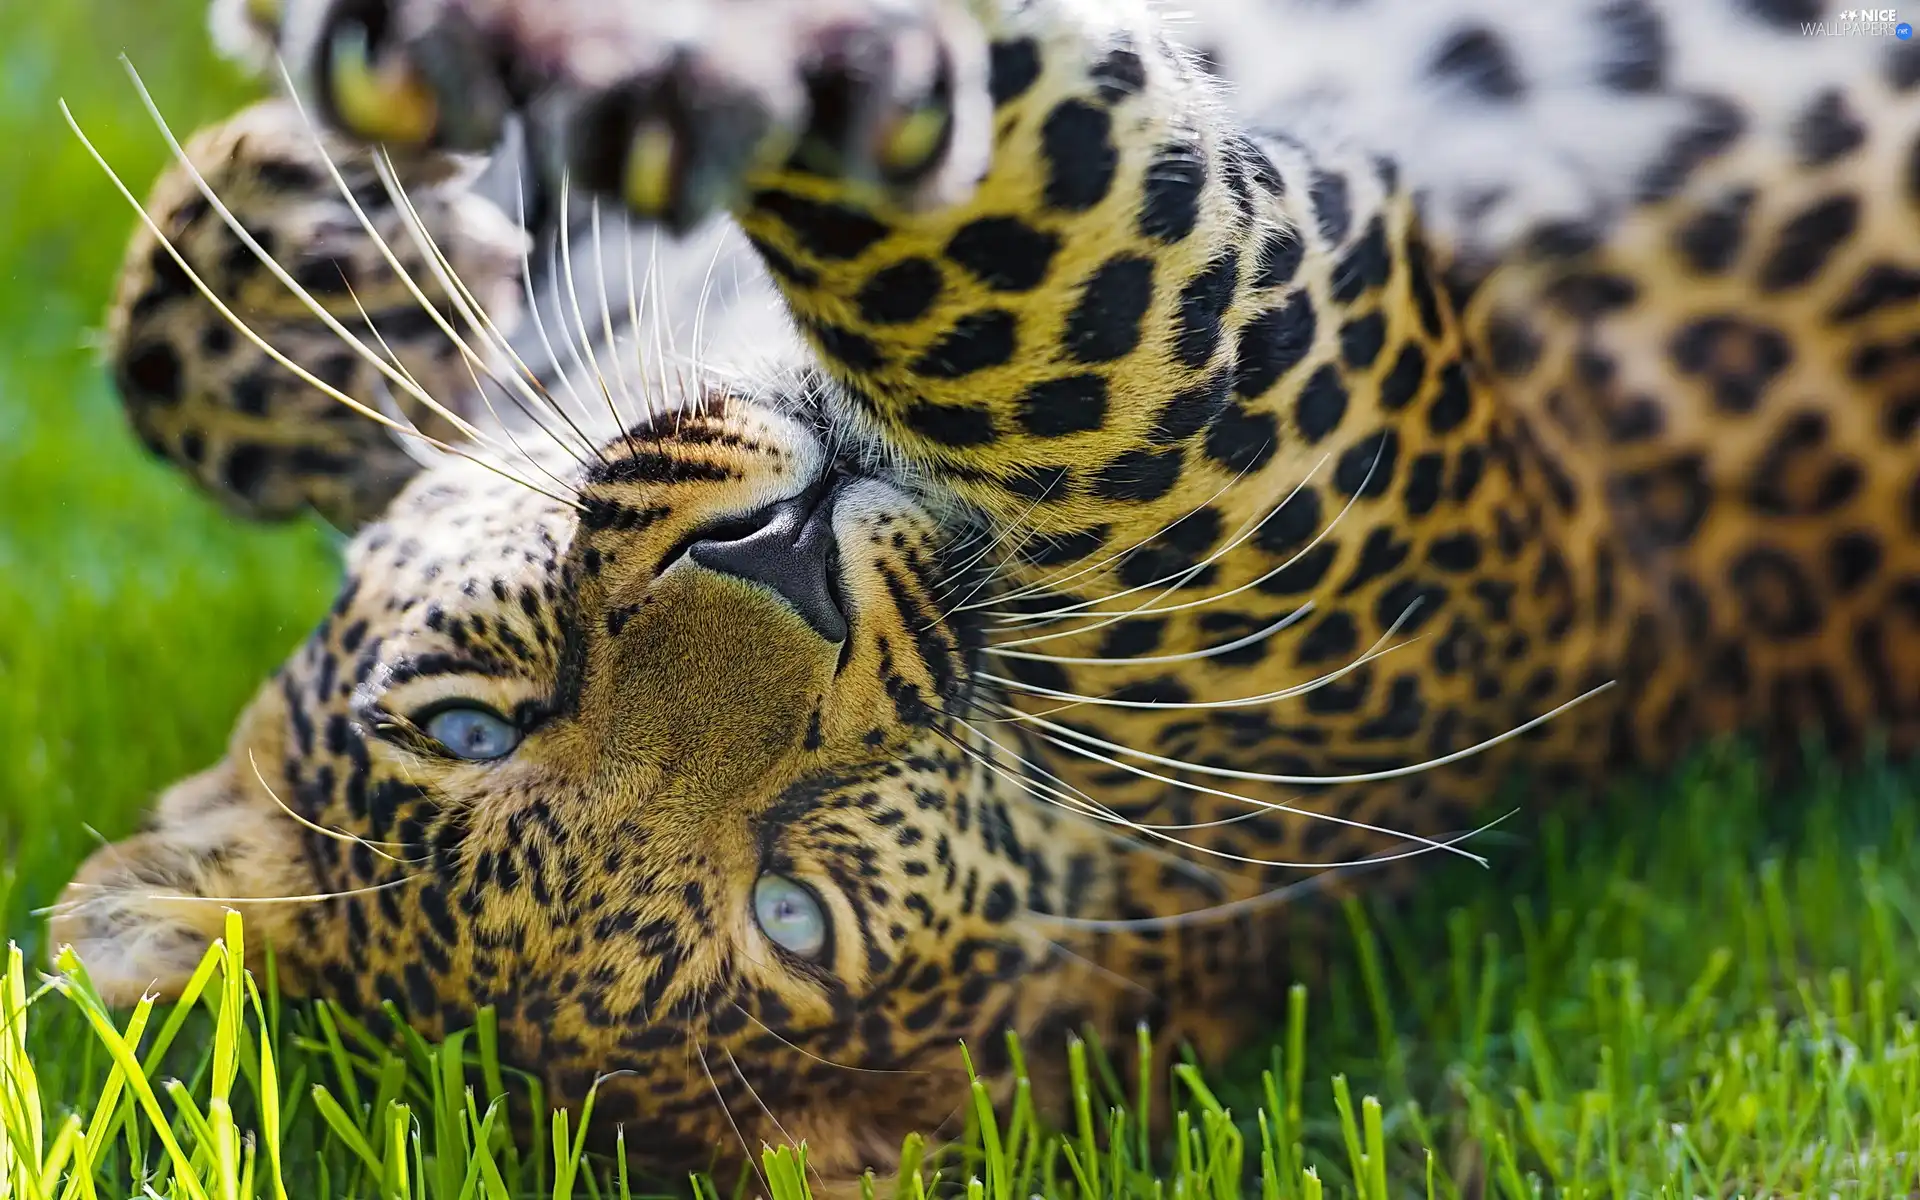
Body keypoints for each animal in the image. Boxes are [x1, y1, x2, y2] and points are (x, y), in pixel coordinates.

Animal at [48, 0, 1920, 1182]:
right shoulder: (1235, 408)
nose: (784, 558)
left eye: (469, 726)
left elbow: (173, 326)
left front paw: (334, 231)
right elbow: (985, 251)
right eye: (794, 913)